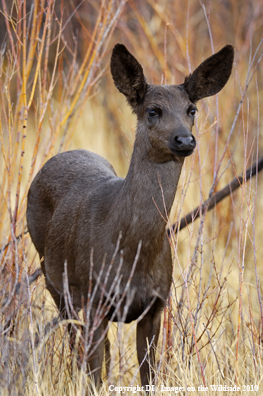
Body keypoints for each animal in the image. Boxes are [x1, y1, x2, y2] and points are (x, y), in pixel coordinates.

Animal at [26, 43, 233, 386]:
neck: (131, 246)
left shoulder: (156, 305)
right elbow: (94, 373)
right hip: (54, 280)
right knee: (75, 345)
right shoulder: (95, 299)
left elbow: (149, 376)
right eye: (153, 111)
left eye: (191, 109)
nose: (184, 139)